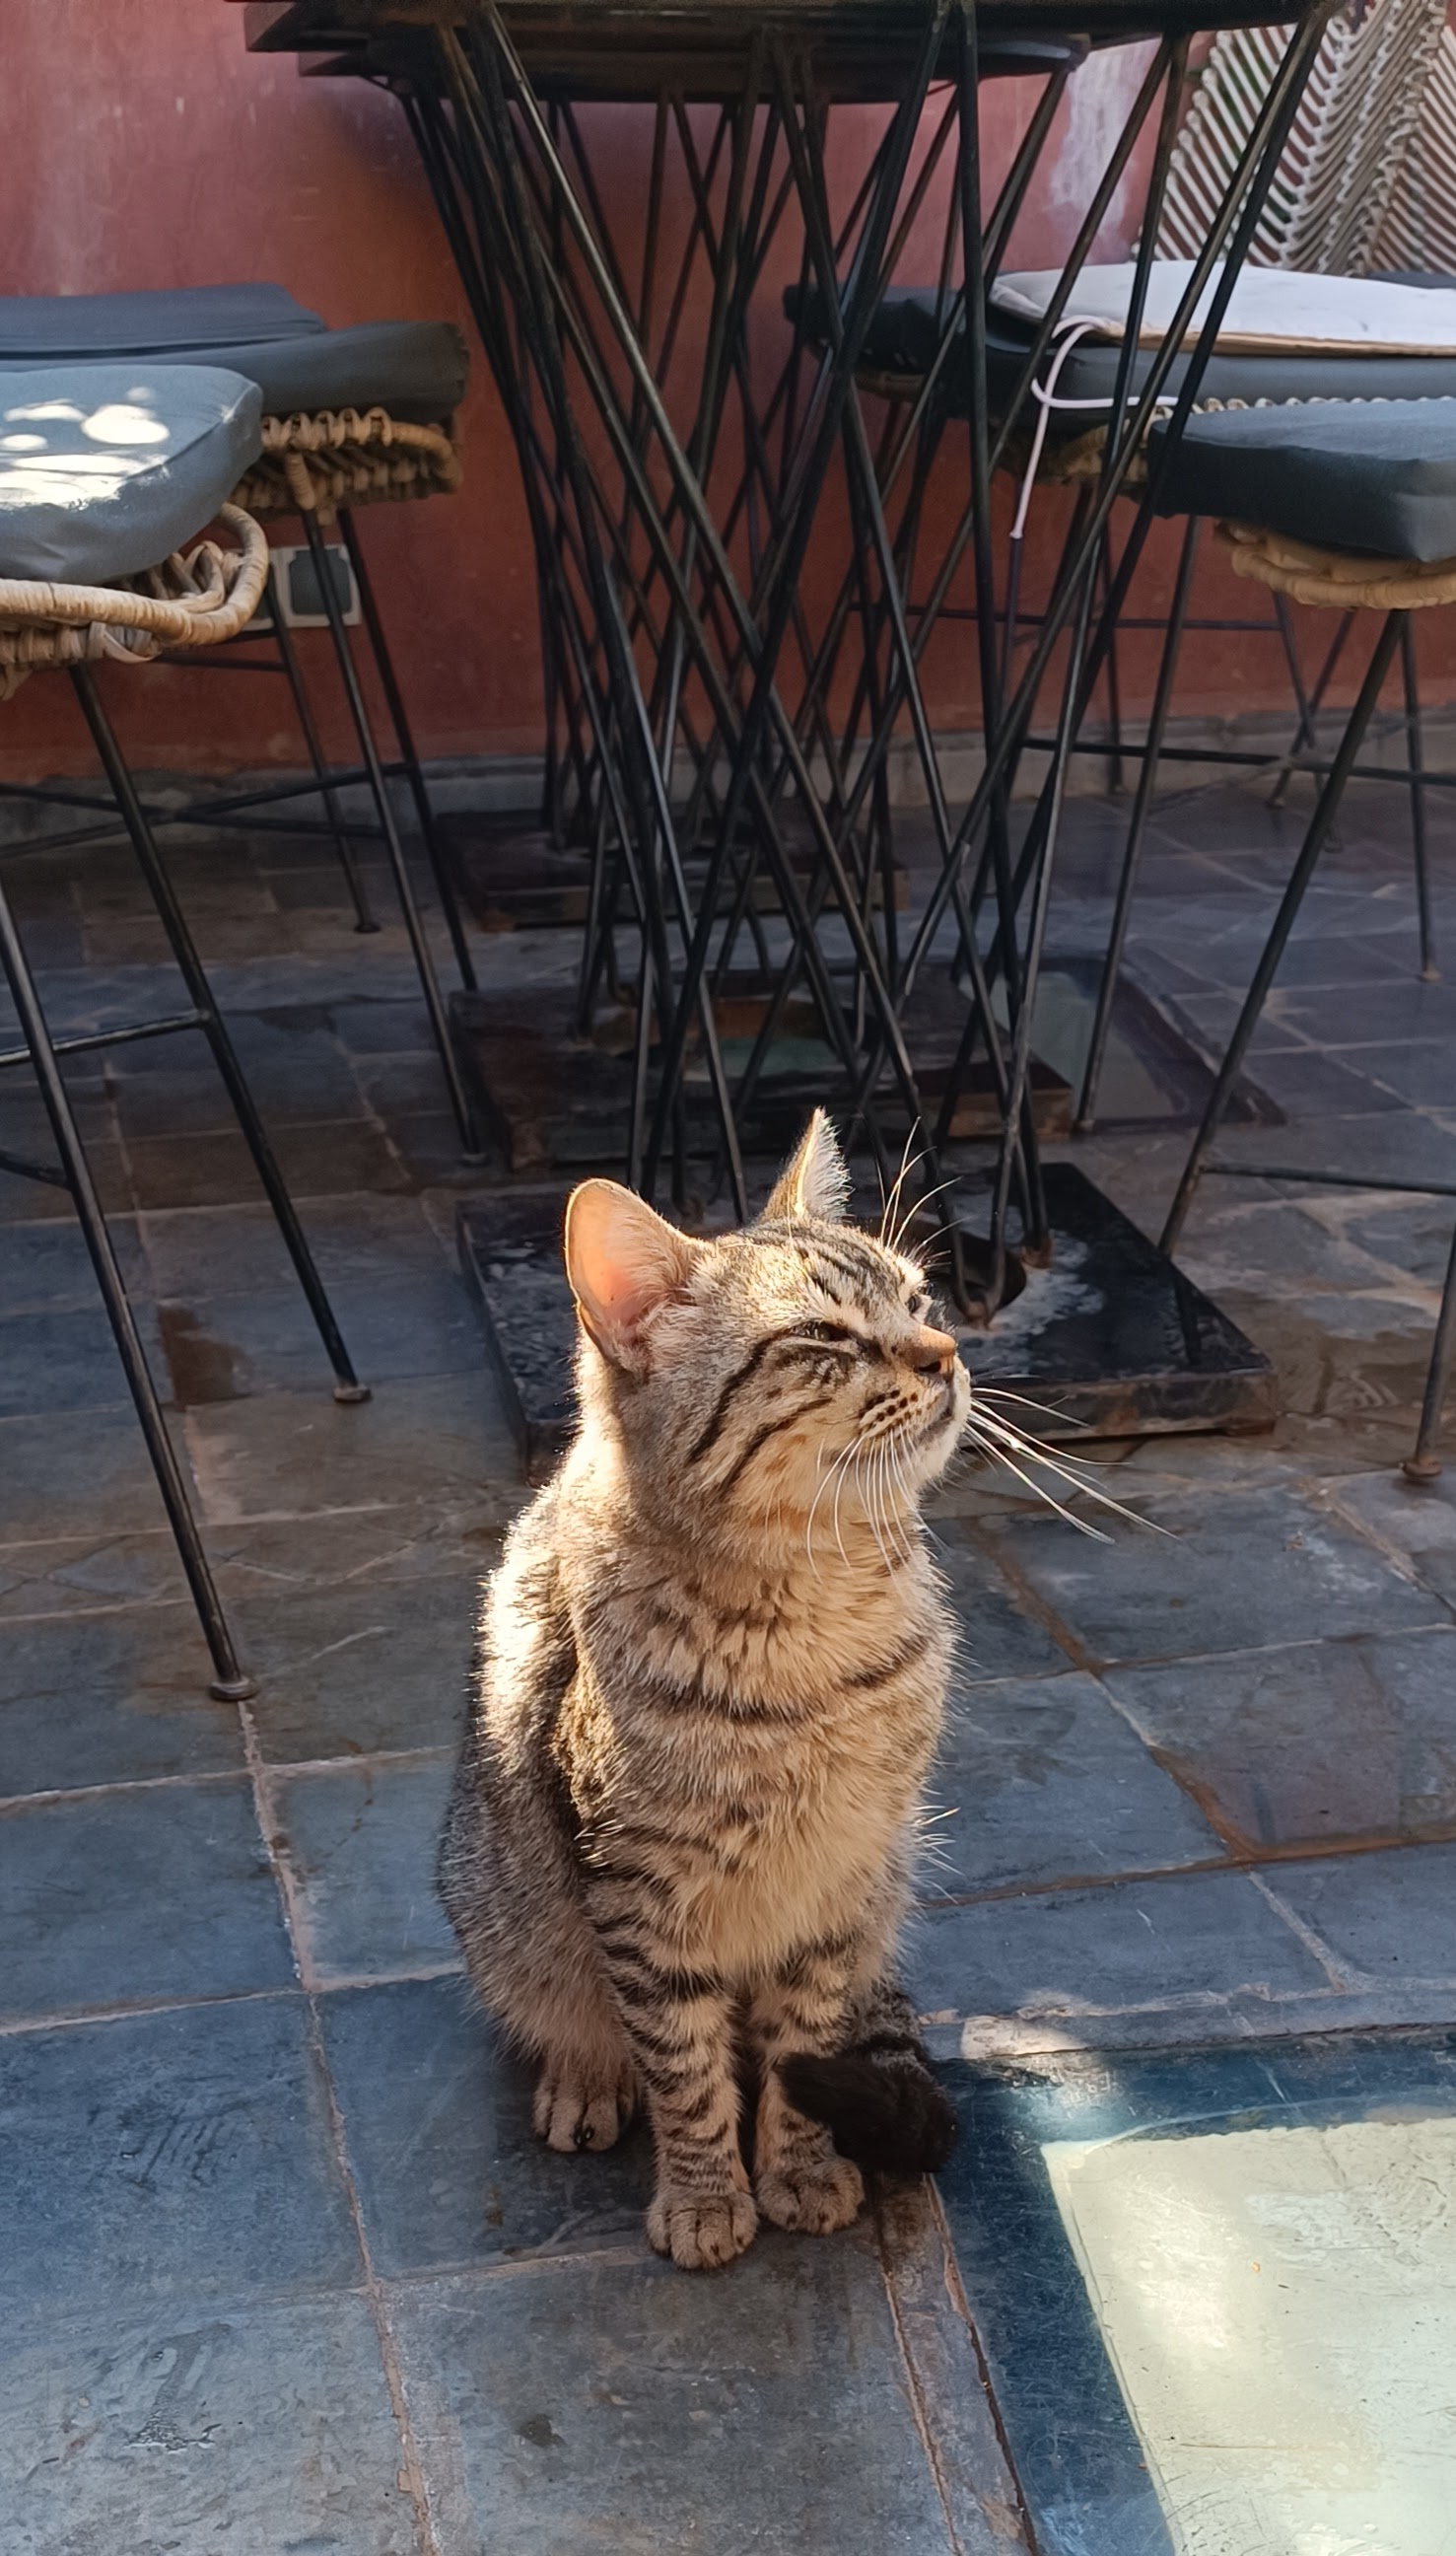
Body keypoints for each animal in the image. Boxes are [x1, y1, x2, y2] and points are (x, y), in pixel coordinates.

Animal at [437, 1108, 970, 2269]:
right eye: (823, 1340)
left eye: (919, 1301)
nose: (949, 1355)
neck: (814, 1609)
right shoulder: (637, 1895)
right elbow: (680, 2066)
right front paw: (704, 2194)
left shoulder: (838, 1878)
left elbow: (803, 2047)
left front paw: (799, 2168)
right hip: (505, 1906)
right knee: (576, 2012)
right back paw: (585, 2077)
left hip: (885, 1886)